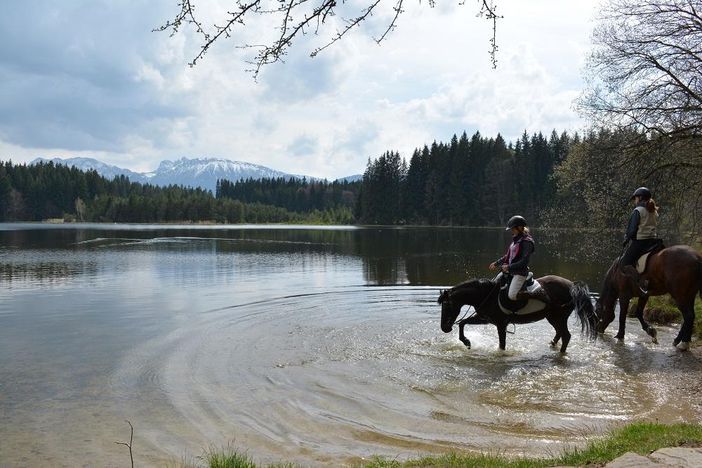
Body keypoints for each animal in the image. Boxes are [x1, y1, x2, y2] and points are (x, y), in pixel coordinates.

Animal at [440, 274, 600, 352]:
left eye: (447, 305)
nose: (444, 328)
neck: (486, 294)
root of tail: (572, 286)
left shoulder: (501, 324)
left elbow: (502, 344)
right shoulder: (485, 318)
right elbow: (462, 323)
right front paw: (466, 342)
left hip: (559, 316)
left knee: (566, 335)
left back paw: (560, 352)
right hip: (553, 317)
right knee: (560, 333)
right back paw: (553, 345)